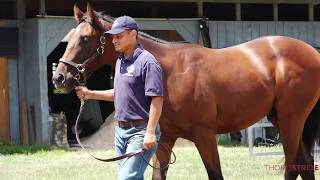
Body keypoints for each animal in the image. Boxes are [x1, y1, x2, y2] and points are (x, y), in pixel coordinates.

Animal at [52, 2, 320, 180]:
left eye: (85, 39)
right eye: (71, 37)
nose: (59, 77)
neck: (169, 72)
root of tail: (312, 52)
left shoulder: (205, 136)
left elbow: (216, 175)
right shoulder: (164, 139)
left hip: (291, 120)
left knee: (294, 165)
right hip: (281, 119)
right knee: (304, 164)